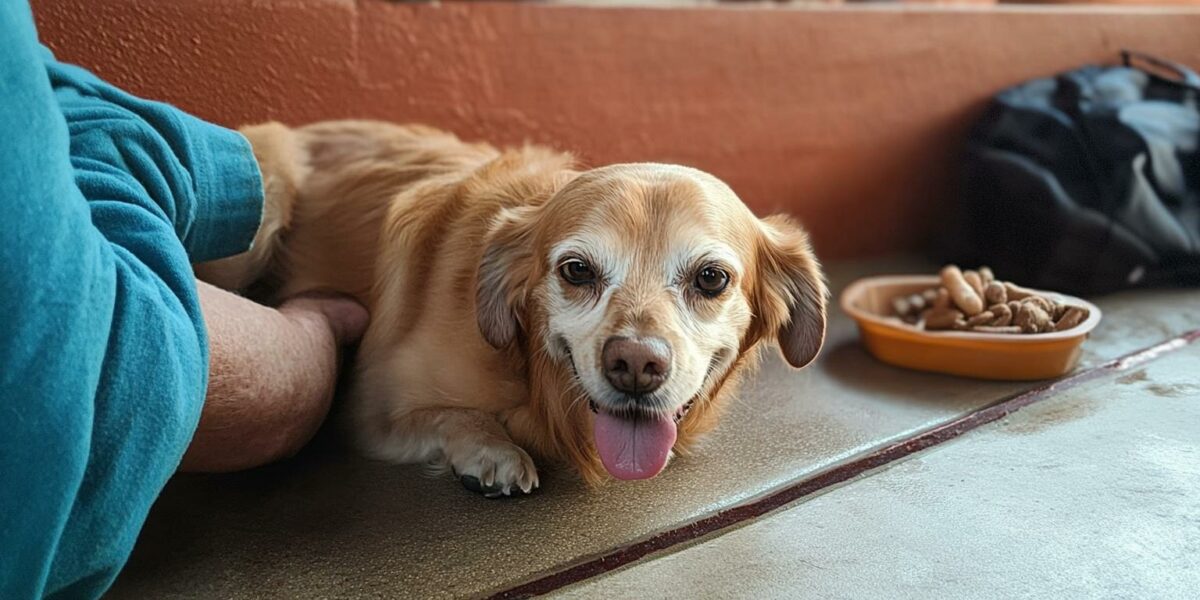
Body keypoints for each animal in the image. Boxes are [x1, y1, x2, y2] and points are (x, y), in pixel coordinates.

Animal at [199, 120, 825, 496]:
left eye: (711, 278)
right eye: (577, 270)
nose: (635, 366)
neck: (537, 384)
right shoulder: (369, 405)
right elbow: (453, 414)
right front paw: (491, 451)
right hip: (262, 202)